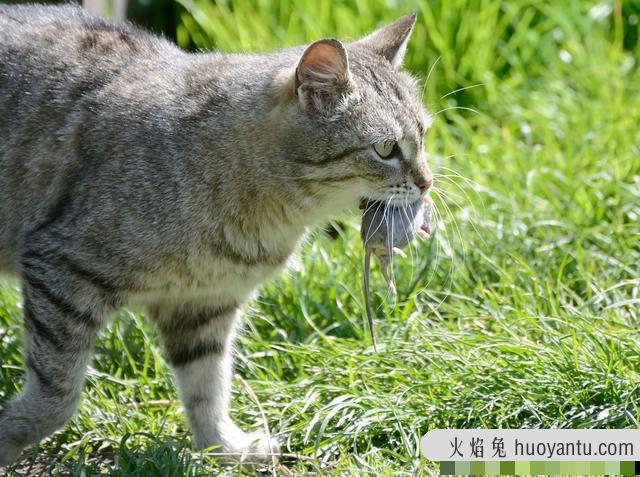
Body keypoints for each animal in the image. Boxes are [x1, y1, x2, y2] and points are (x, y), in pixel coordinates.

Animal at [0, 4, 432, 464]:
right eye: (386, 149)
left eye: (423, 136)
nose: (427, 182)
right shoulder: (63, 269)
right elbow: (57, 396)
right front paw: (11, 433)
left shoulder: (204, 304)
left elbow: (207, 387)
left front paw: (223, 446)